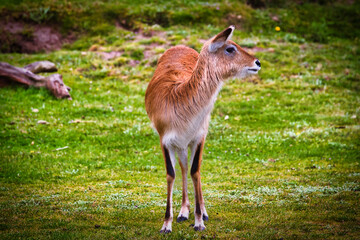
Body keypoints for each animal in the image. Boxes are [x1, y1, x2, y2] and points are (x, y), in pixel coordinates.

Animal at [145, 25, 260, 232]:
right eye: (230, 48)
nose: (257, 62)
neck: (179, 100)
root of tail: (180, 46)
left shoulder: (199, 137)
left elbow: (195, 171)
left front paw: (199, 221)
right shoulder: (165, 140)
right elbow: (171, 173)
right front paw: (166, 224)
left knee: (192, 168)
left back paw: (201, 212)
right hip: (181, 145)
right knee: (183, 167)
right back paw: (183, 212)